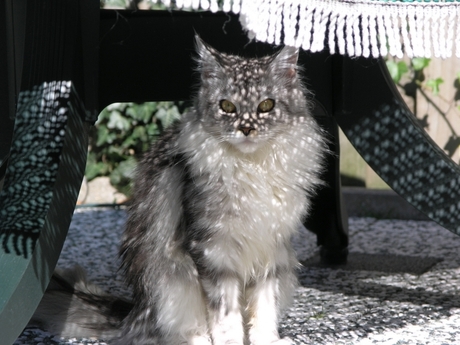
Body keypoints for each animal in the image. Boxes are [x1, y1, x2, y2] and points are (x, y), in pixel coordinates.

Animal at [31, 37, 328, 344]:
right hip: (171, 282)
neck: (253, 168)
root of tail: (134, 314)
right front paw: (231, 341)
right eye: (227, 106)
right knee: (175, 333)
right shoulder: (213, 251)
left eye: (266, 105)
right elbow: (226, 317)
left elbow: (264, 310)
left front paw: (267, 341)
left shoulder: (270, 250)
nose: (246, 129)